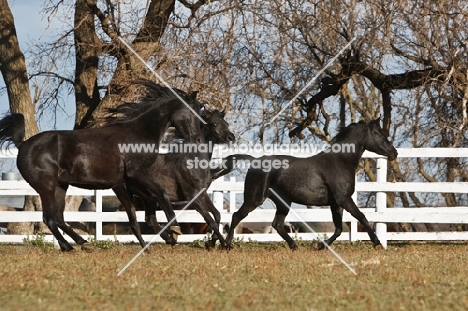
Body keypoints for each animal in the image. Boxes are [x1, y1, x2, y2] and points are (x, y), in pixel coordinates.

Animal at [0, 79, 202, 252]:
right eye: (192, 113)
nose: (198, 140)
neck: (139, 133)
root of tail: (23, 145)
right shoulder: (137, 175)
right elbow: (160, 194)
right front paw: (174, 230)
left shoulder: (129, 182)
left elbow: (142, 210)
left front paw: (164, 239)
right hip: (46, 187)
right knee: (49, 218)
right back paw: (68, 246)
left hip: (60, 186)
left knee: (58, 218)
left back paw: (83, 243)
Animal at [114, 107, 236, 251]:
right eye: (215, 123)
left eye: (226, 123)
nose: (231, 137)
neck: (193, 162)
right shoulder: (193, 198)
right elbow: (210, 221)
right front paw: (224, 245)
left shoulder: (203, 195)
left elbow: (217, 215)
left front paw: (212, 242)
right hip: (125, 195)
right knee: (135, 223)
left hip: (149, 198)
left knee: (151, 220)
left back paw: (170, 240)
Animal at [225, 119, 396, 251]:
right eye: (378, 133)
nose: (394, 153)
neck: (340, 161)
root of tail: (255, 161)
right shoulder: (344, 199)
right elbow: (362, 217)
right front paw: (378, 243)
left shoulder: (336, 203)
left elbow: (339, 229)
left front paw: (320, 246)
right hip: (254, 199)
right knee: (236, 216)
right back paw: (226, 245)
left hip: (283, 202)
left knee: (277, 224)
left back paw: (294, 246)